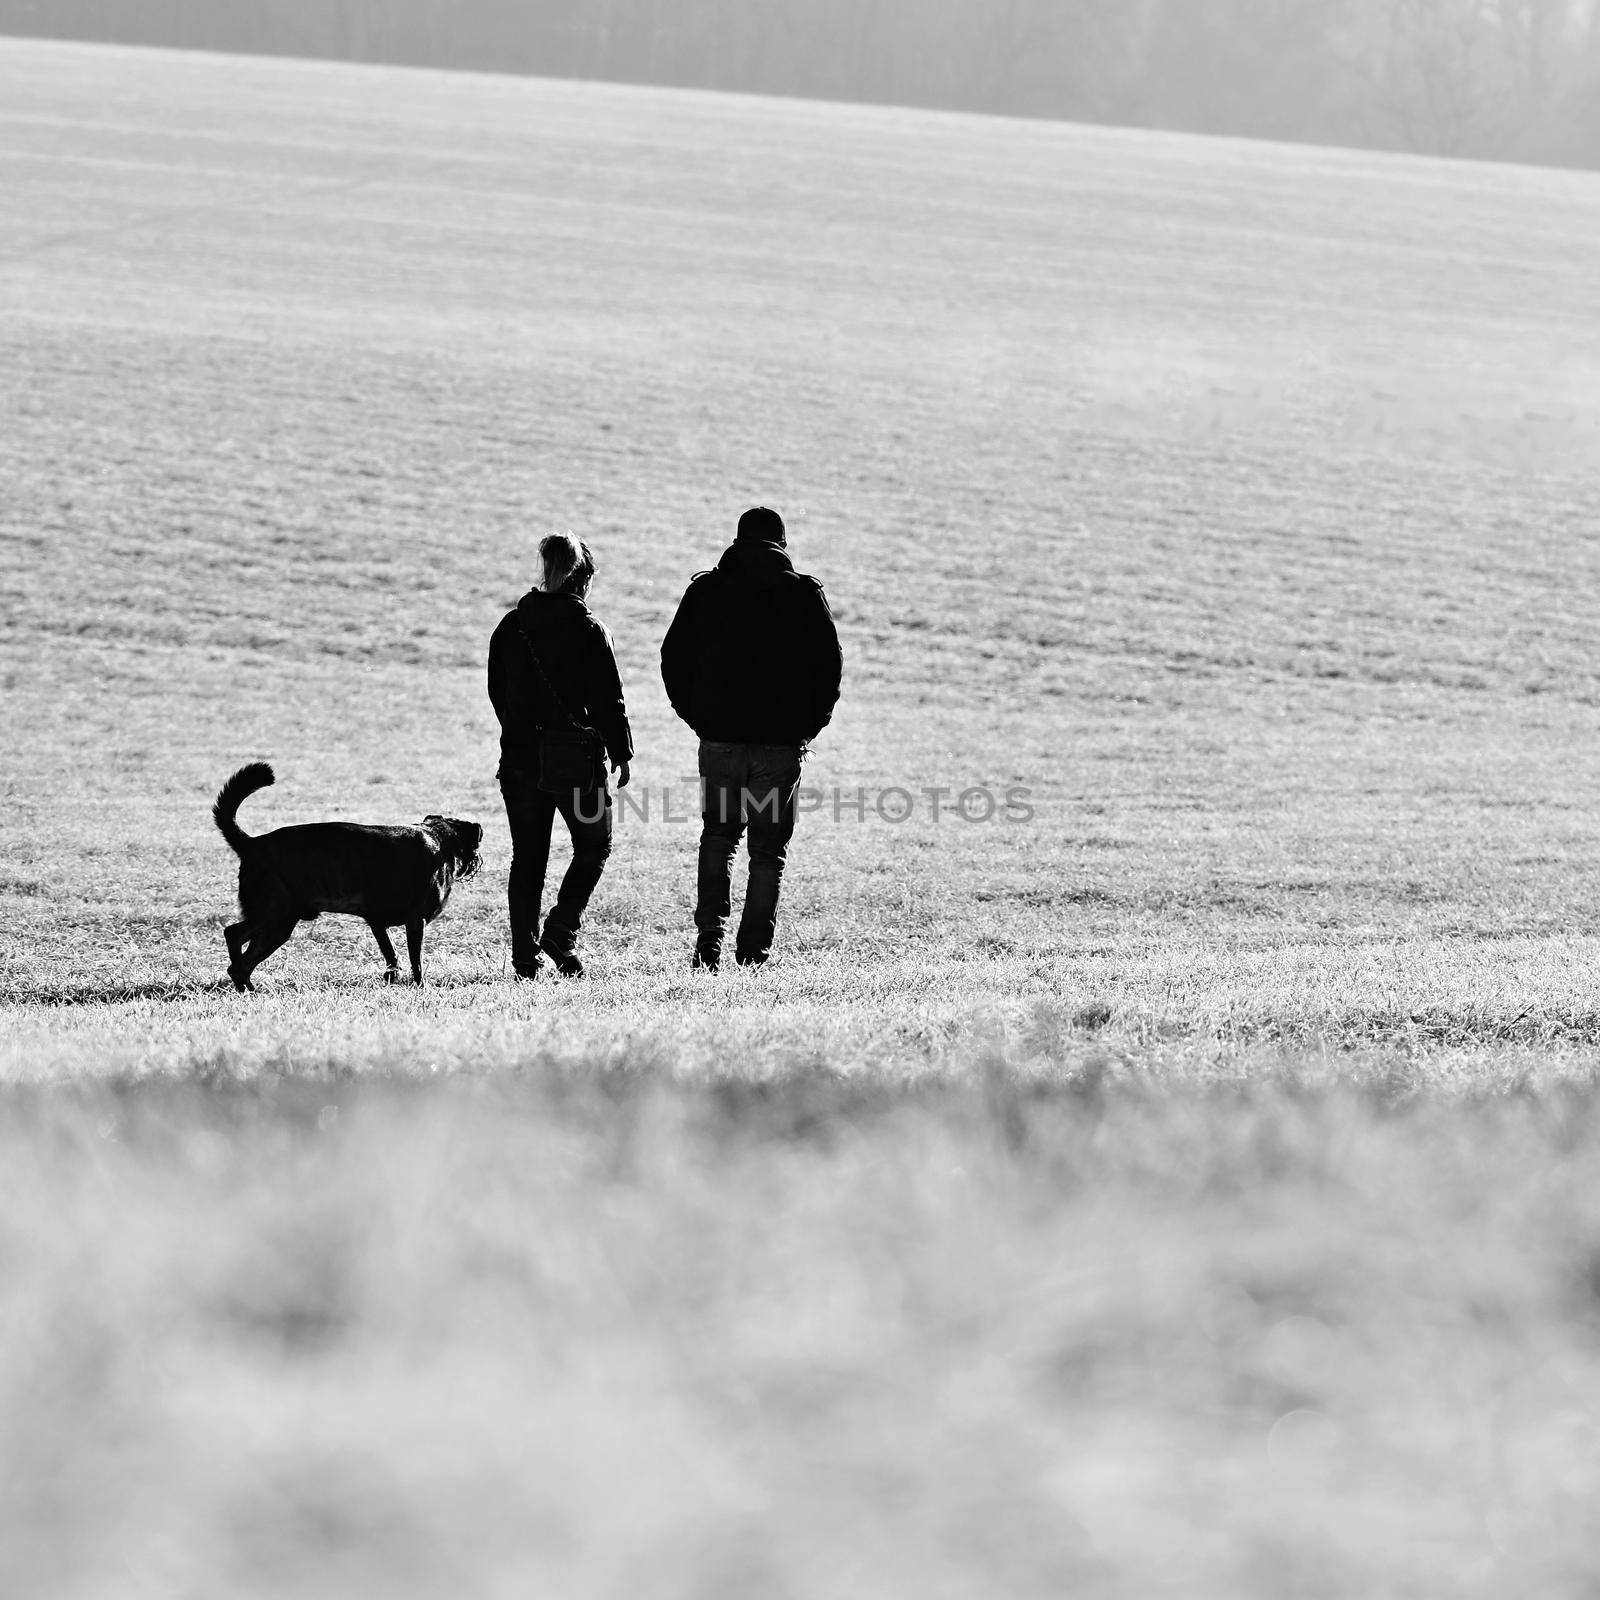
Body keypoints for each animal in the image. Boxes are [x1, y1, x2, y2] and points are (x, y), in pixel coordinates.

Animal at [216, 761, 483, 985]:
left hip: (275, 920)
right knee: (234, 939)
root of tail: (251, 844)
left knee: (240, 958)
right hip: (276, 915)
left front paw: (392, 979)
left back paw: (247, 988)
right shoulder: (415, 921)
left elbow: (391, 955)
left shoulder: (377, 922)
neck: (439, 839)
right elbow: (415, 960)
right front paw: (420, 986)